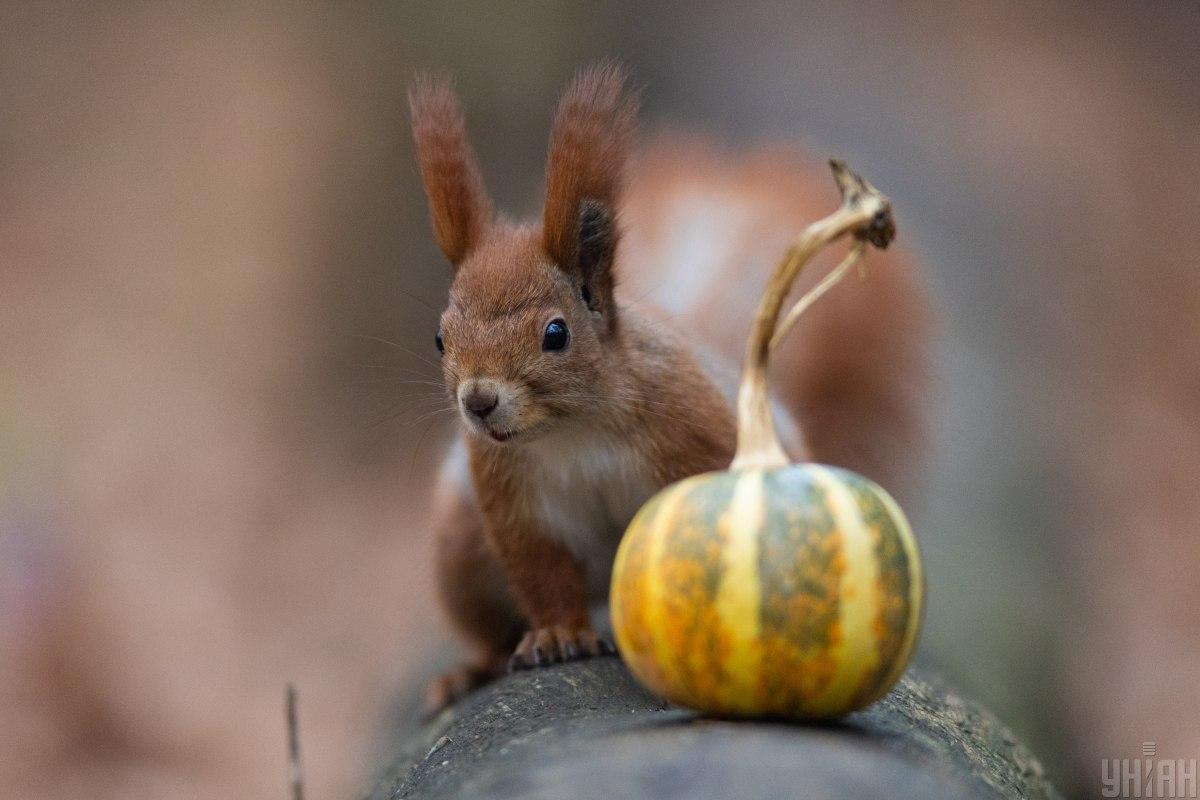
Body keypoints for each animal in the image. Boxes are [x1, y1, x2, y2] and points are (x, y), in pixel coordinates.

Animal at [405, 64, 926, 714]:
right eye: (439, 338)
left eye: (556, 333)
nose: (478, 402)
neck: (572, 430)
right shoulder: (510, 498)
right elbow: (542, 573)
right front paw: (558, 636)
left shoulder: (691, 427)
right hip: (461, 550)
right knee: (487, 630)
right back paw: (466, 672)